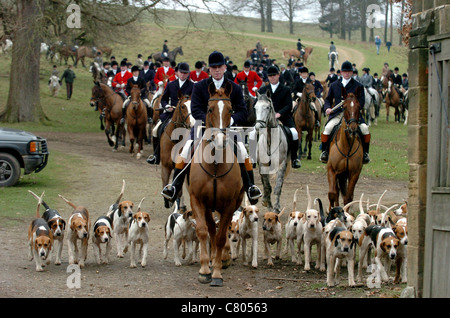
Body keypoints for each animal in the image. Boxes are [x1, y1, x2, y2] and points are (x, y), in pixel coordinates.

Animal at [187, 80, 243, 286]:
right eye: (209, 109)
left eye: (230, 109)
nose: (219, 140)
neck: (216, 165)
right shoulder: (197, 200)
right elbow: (204, 231)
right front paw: (204, 270)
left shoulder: (229, 204)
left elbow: (220, 236)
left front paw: (217, 272)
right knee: (211, 228)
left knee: (222, 230)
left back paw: (223, 258)